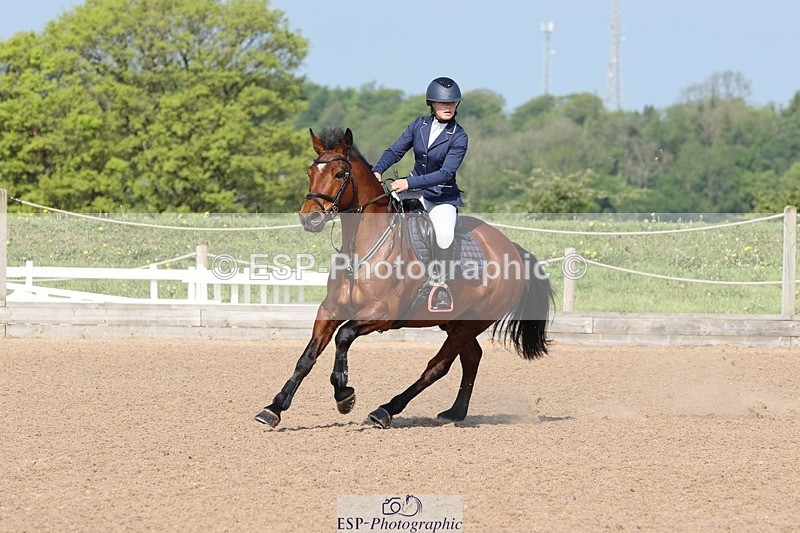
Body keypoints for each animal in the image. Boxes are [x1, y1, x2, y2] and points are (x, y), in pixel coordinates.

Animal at [254, 127, 554, 429]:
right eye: (309, 172)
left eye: (339, 174)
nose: (310, 219)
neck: (361, 250)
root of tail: (512, 249)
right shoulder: (330, 309)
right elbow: (307, 357)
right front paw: (274, 408)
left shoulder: (381, 313)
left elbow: (344, 336)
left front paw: (344, 394)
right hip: (455, 321)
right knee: (471, 358)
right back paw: (454, 412)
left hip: (474, 321)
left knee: (437, 366)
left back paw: (386, 410)